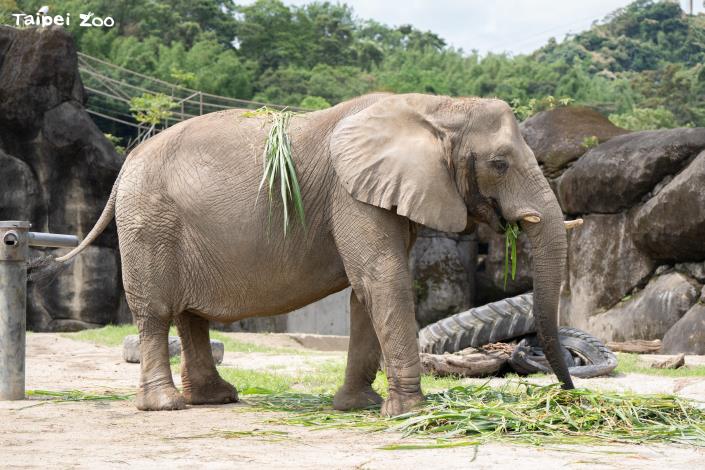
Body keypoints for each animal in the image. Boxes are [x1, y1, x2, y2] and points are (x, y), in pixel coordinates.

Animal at [54, 92, 574, 416]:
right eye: (500, 163)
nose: (569, 391)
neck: (434, 106)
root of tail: (125, 168)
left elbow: (366, 290)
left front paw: (359, 407)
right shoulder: (352, 193)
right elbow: (382, 277)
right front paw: (409, 413)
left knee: (189, 315)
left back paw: (216, 399)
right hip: (148, 222)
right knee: (157, 312)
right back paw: (167, 406)